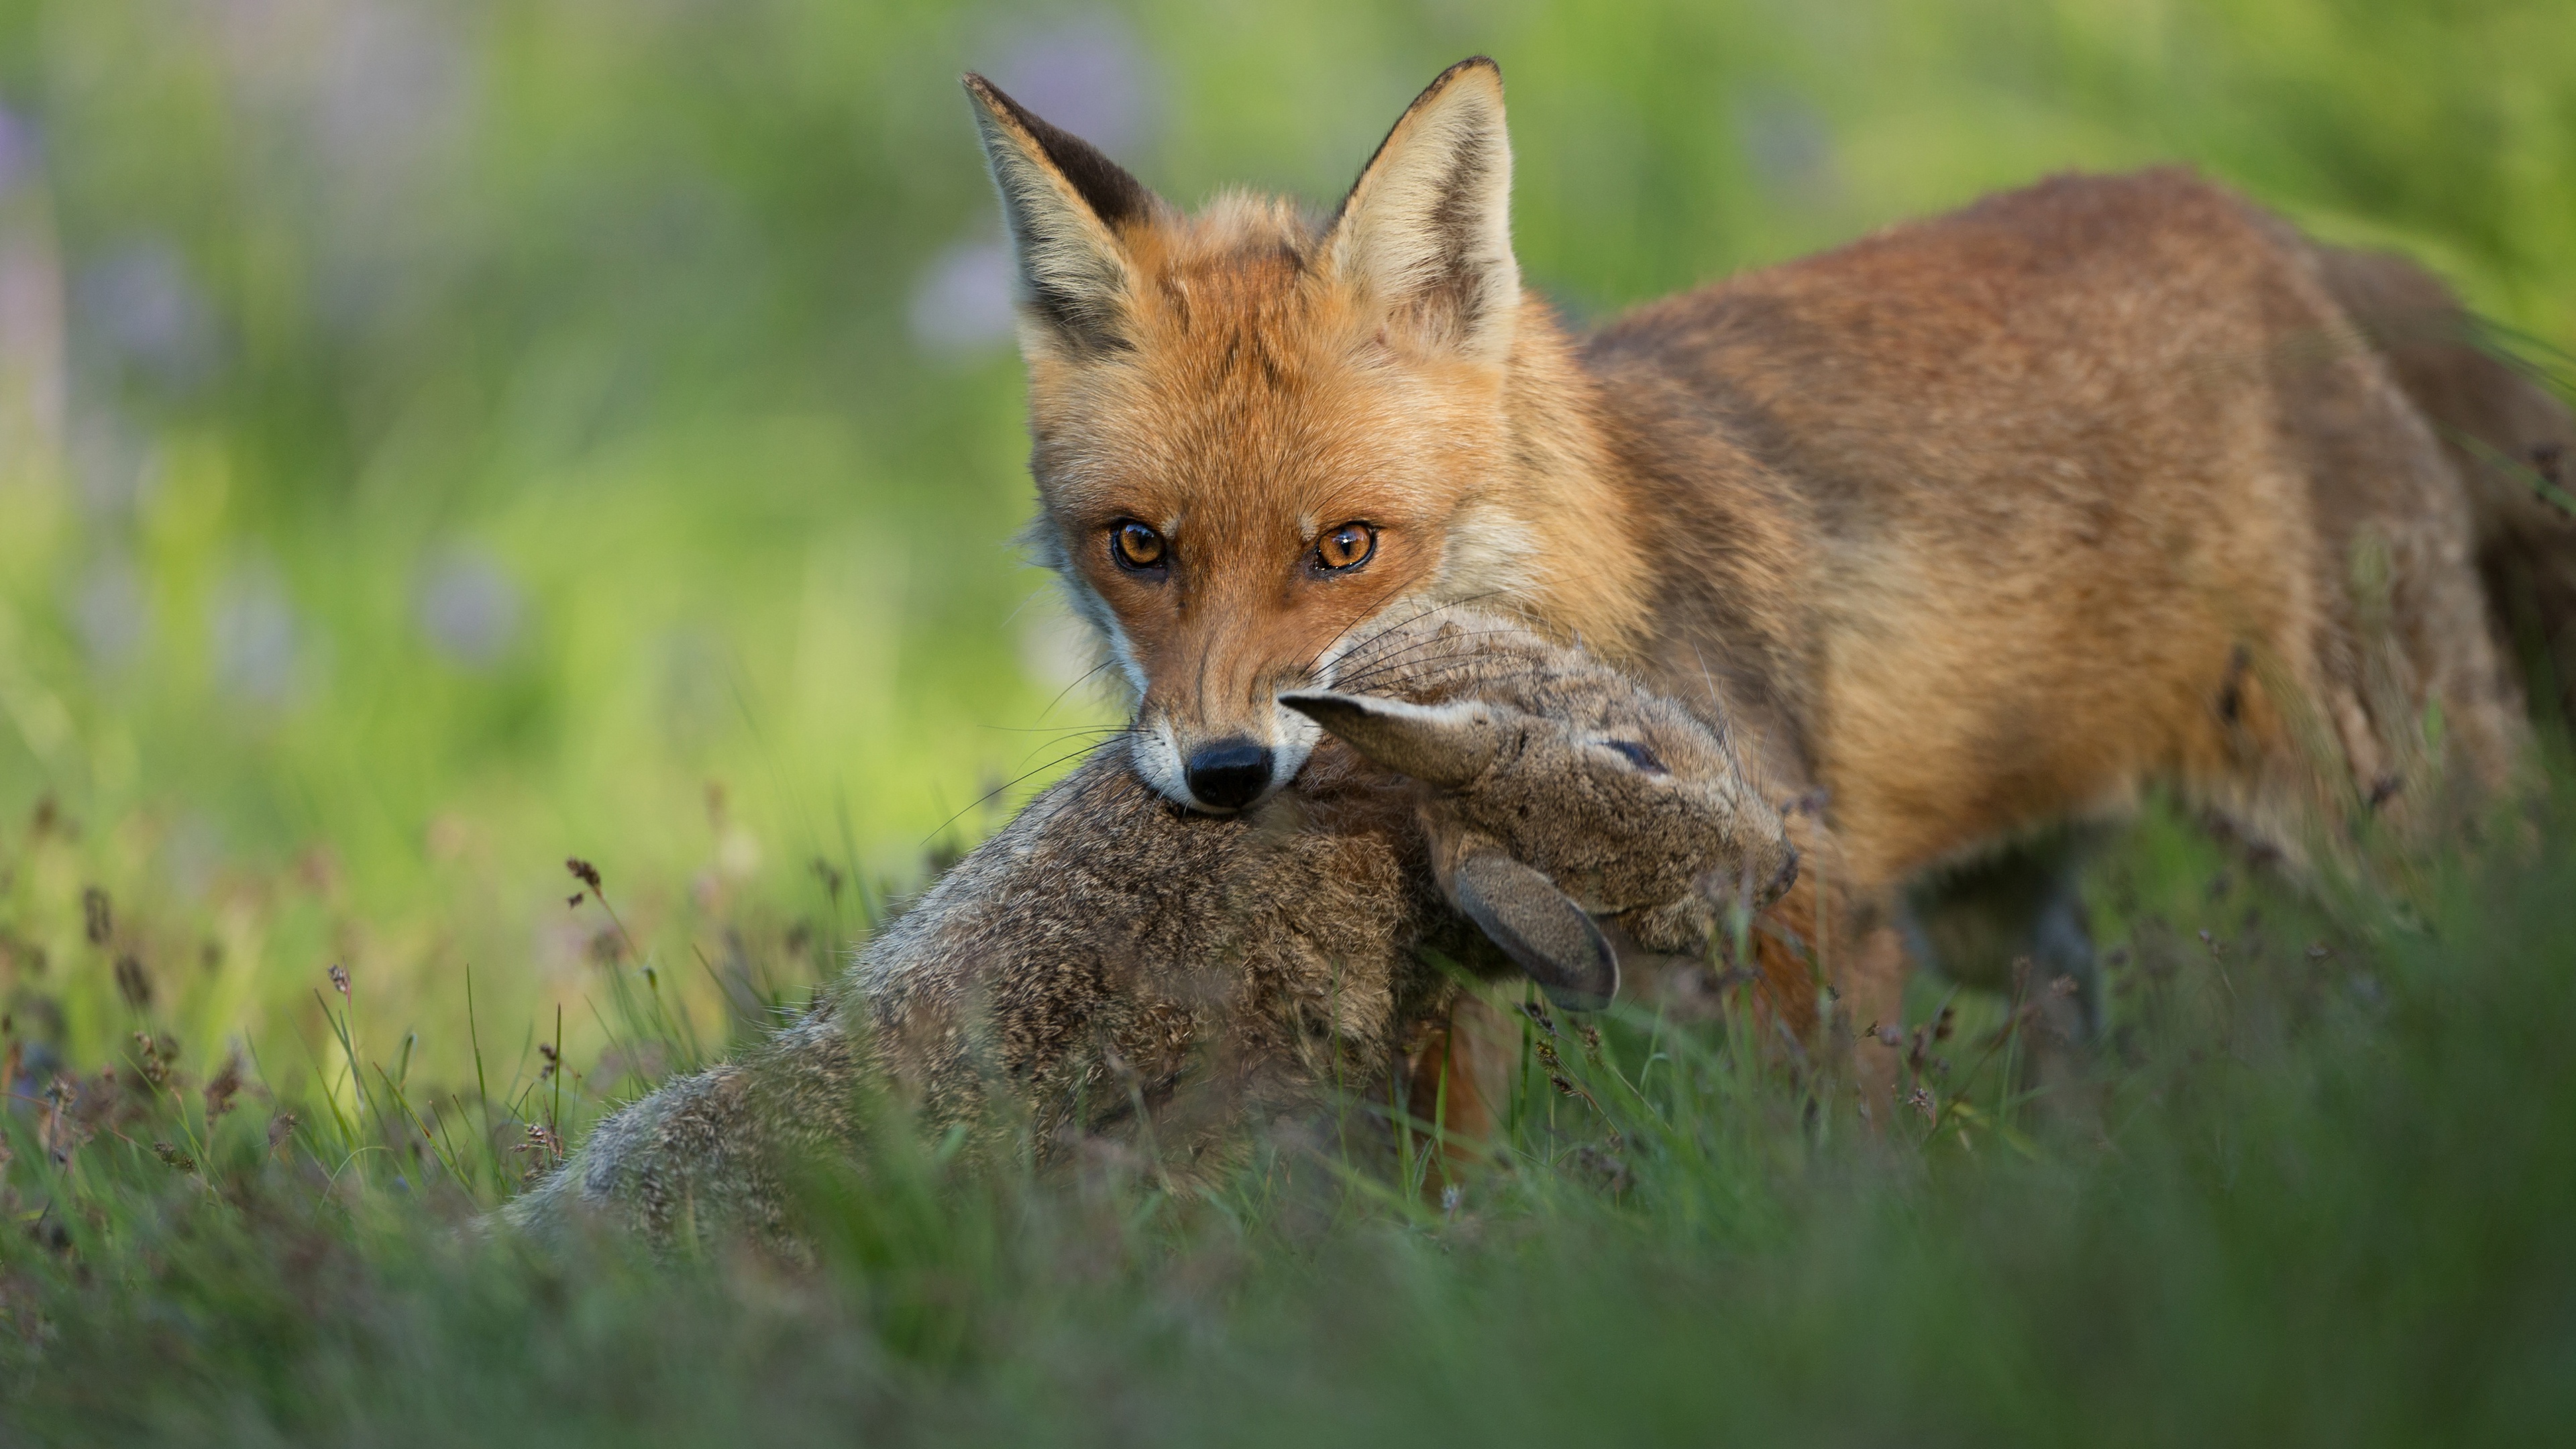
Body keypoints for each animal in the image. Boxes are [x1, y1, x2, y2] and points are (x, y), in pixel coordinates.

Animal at [963, 53, 2576, 1103]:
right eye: (1139, 548)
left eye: (1346, 549)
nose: (1226, 774)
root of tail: (2267, 228)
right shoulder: (1459, 985)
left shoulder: (1814, 906)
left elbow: (1833, 1160)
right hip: (1998, 909)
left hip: (2392, 822)